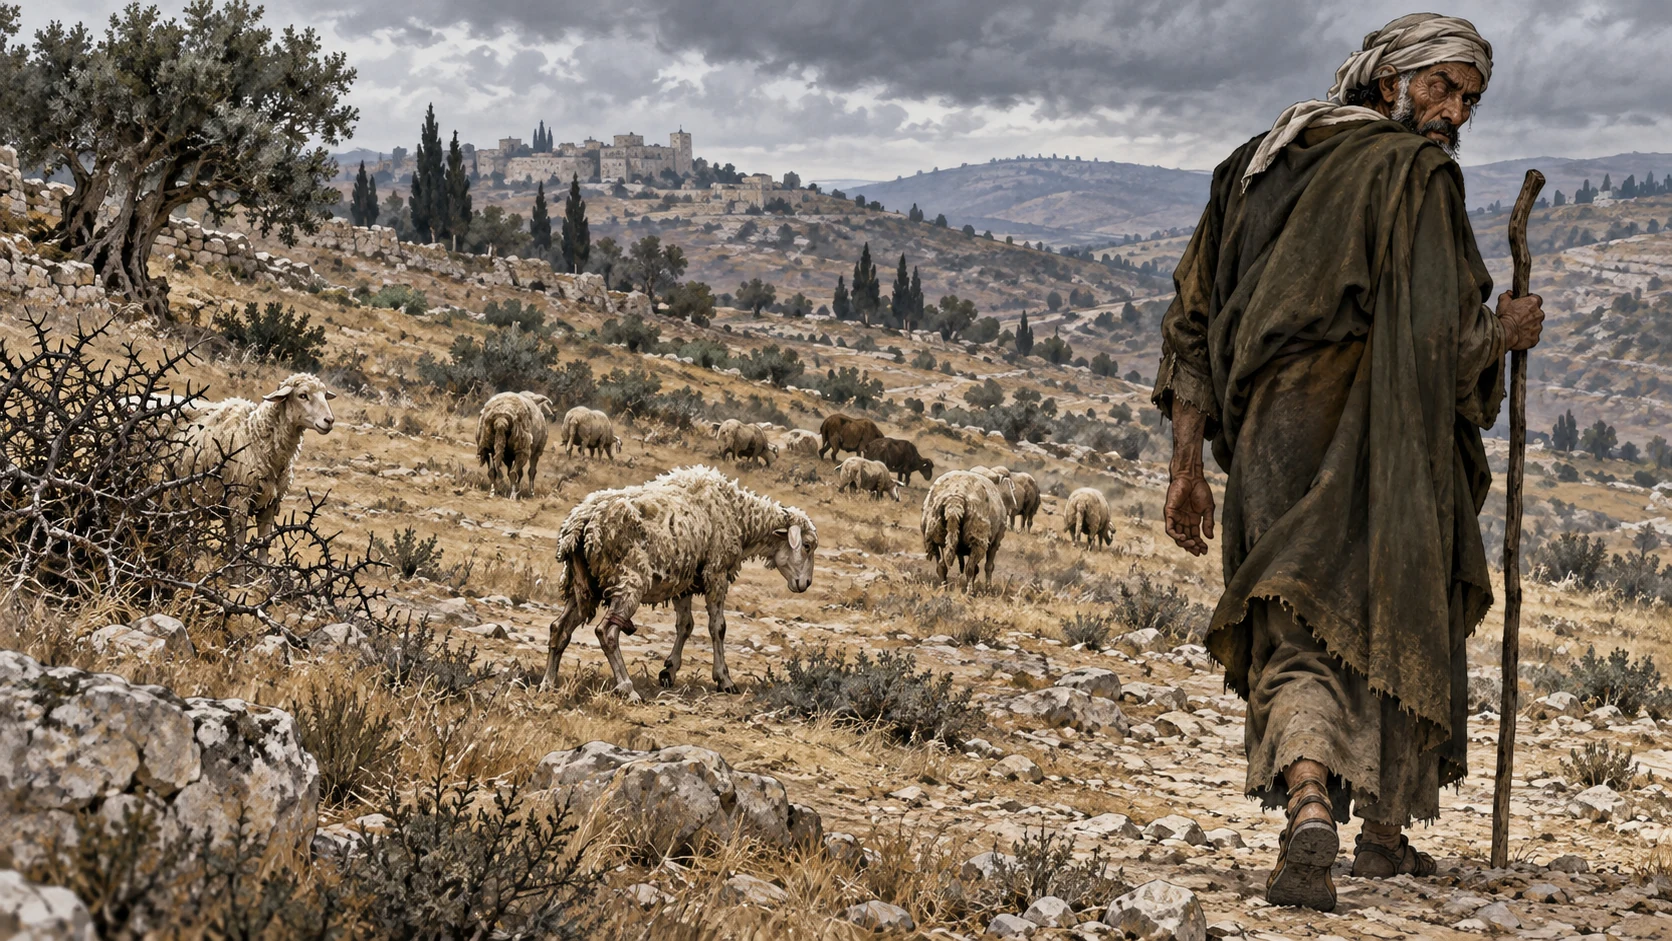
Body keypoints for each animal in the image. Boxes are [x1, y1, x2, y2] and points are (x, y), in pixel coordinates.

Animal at [176, 373, 336, 557]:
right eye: (302, 395)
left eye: (324, 394)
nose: (329, 421)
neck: (256, 438)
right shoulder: (240, 500)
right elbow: (239, 547)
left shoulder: (269, 504)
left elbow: (263, 548)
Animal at [541, 465, 818, 700]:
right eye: (806, 546)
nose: (805, 583)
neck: (738, 515)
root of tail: (582, 521)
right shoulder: (715, 572)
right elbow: (718, 627)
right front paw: (724, 679)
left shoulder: (683, 580)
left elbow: (685, 625)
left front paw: (669, 671)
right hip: (628, 579)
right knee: (606, 632)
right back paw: (628, 689)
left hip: (584, 584)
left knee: (559, 628)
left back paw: (548, 683)